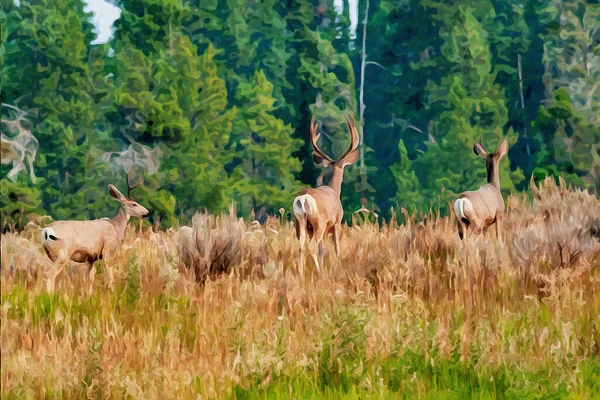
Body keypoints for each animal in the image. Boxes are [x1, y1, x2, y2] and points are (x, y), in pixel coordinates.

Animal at [292, 114, 358, 274]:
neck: (334, 190)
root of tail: (303, 199)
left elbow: (322, 249)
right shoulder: (337, 221)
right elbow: (337, 248)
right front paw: (338, 265)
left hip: (300, 222)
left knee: (301, 246)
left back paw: (301, 272)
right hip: (318, 222)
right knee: (312, 246)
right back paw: (318, 271)